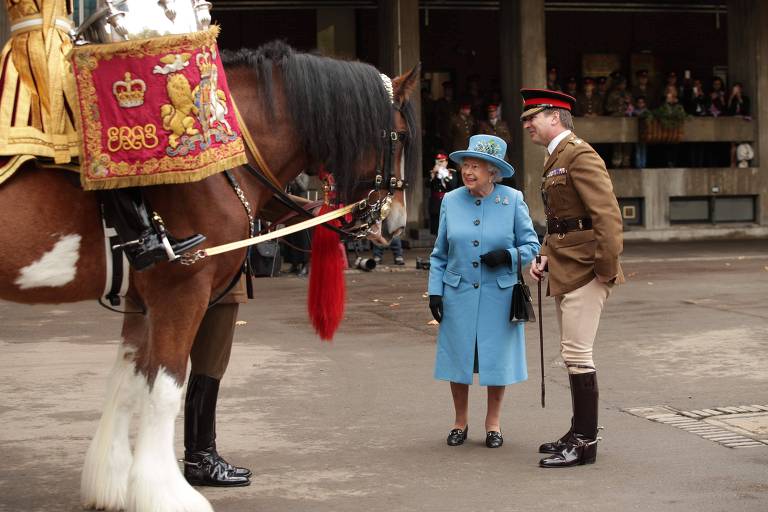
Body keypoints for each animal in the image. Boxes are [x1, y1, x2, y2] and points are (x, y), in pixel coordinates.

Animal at [0, 41, 420, 512]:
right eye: (401, 136)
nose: (395, 224)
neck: (221, 162)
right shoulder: (181, 292)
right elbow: (165, 387)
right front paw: (164, 493)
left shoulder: (140, 301)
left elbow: (128, 381)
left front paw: (112, 482)